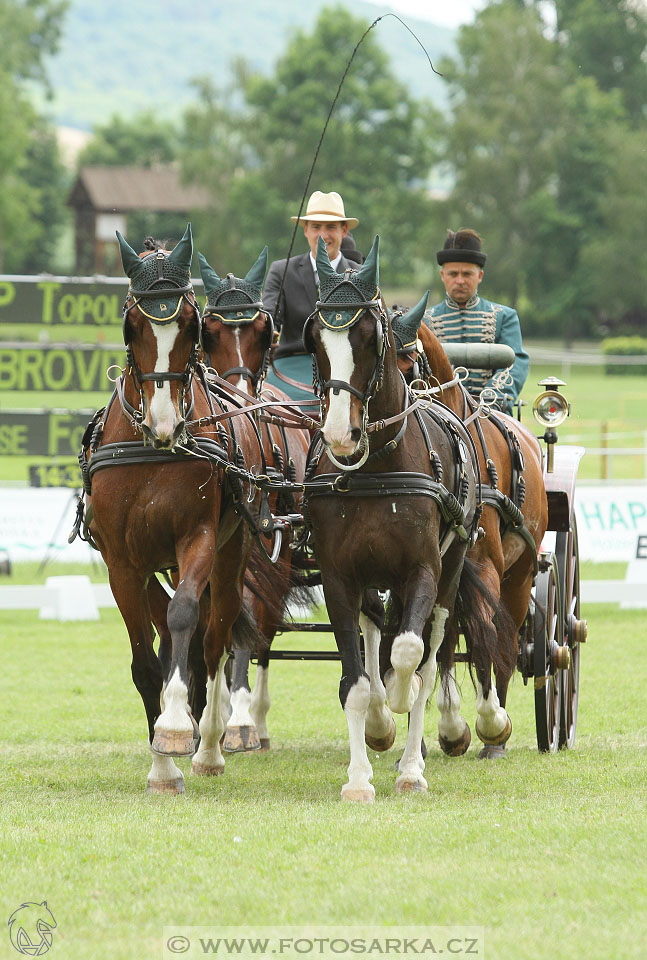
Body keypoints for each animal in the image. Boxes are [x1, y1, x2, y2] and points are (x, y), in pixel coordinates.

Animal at [86, 227, 268, 796]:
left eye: (190, 324)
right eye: (133, 324)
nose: (165, 423)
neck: (154, 453)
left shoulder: (199, 539)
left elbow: (187, 616)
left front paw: (172, 728)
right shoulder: (122, 563)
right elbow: (145, 658)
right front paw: (161, 764)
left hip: (230, 555)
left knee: (213, 637)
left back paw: (209, 741)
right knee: (170, 636)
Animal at [304, 236, 512, 800]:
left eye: (367, 338)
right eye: (315, 341)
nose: (340, 435)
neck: (378, 469)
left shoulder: (422, 571)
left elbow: (410, 656)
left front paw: (403, 728)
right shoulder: (340, 577)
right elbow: (357, 682)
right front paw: (360, 774)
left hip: (451, 571)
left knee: (431, 650)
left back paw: (417, 759)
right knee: (378, 636)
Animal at [392, 316, 548, 756]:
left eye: (407, 362)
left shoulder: (482, 566)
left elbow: (483, 639)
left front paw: (489, 723)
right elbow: (426, 639)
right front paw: (438, 730)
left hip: (520, 576)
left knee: (506, 640)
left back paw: (497, 732)